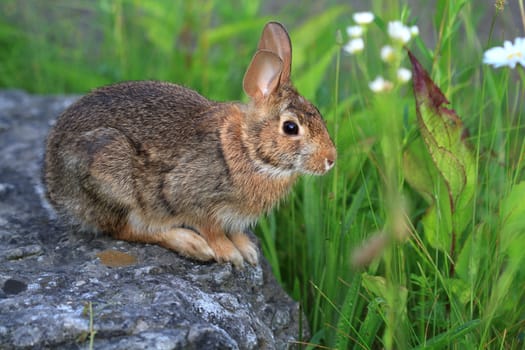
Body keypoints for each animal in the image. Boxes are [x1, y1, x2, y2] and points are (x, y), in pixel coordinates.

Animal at [43, 21, 334, 268]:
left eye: (318, 113)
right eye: (290, 128)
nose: (330, 160)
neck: (247, 147)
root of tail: (54, 188)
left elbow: (234, 230)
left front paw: (247, 251)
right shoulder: (189, 197)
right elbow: (211, 229)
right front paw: (229, 254)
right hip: (112, 175)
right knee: (126, 230)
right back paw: (191, 244)